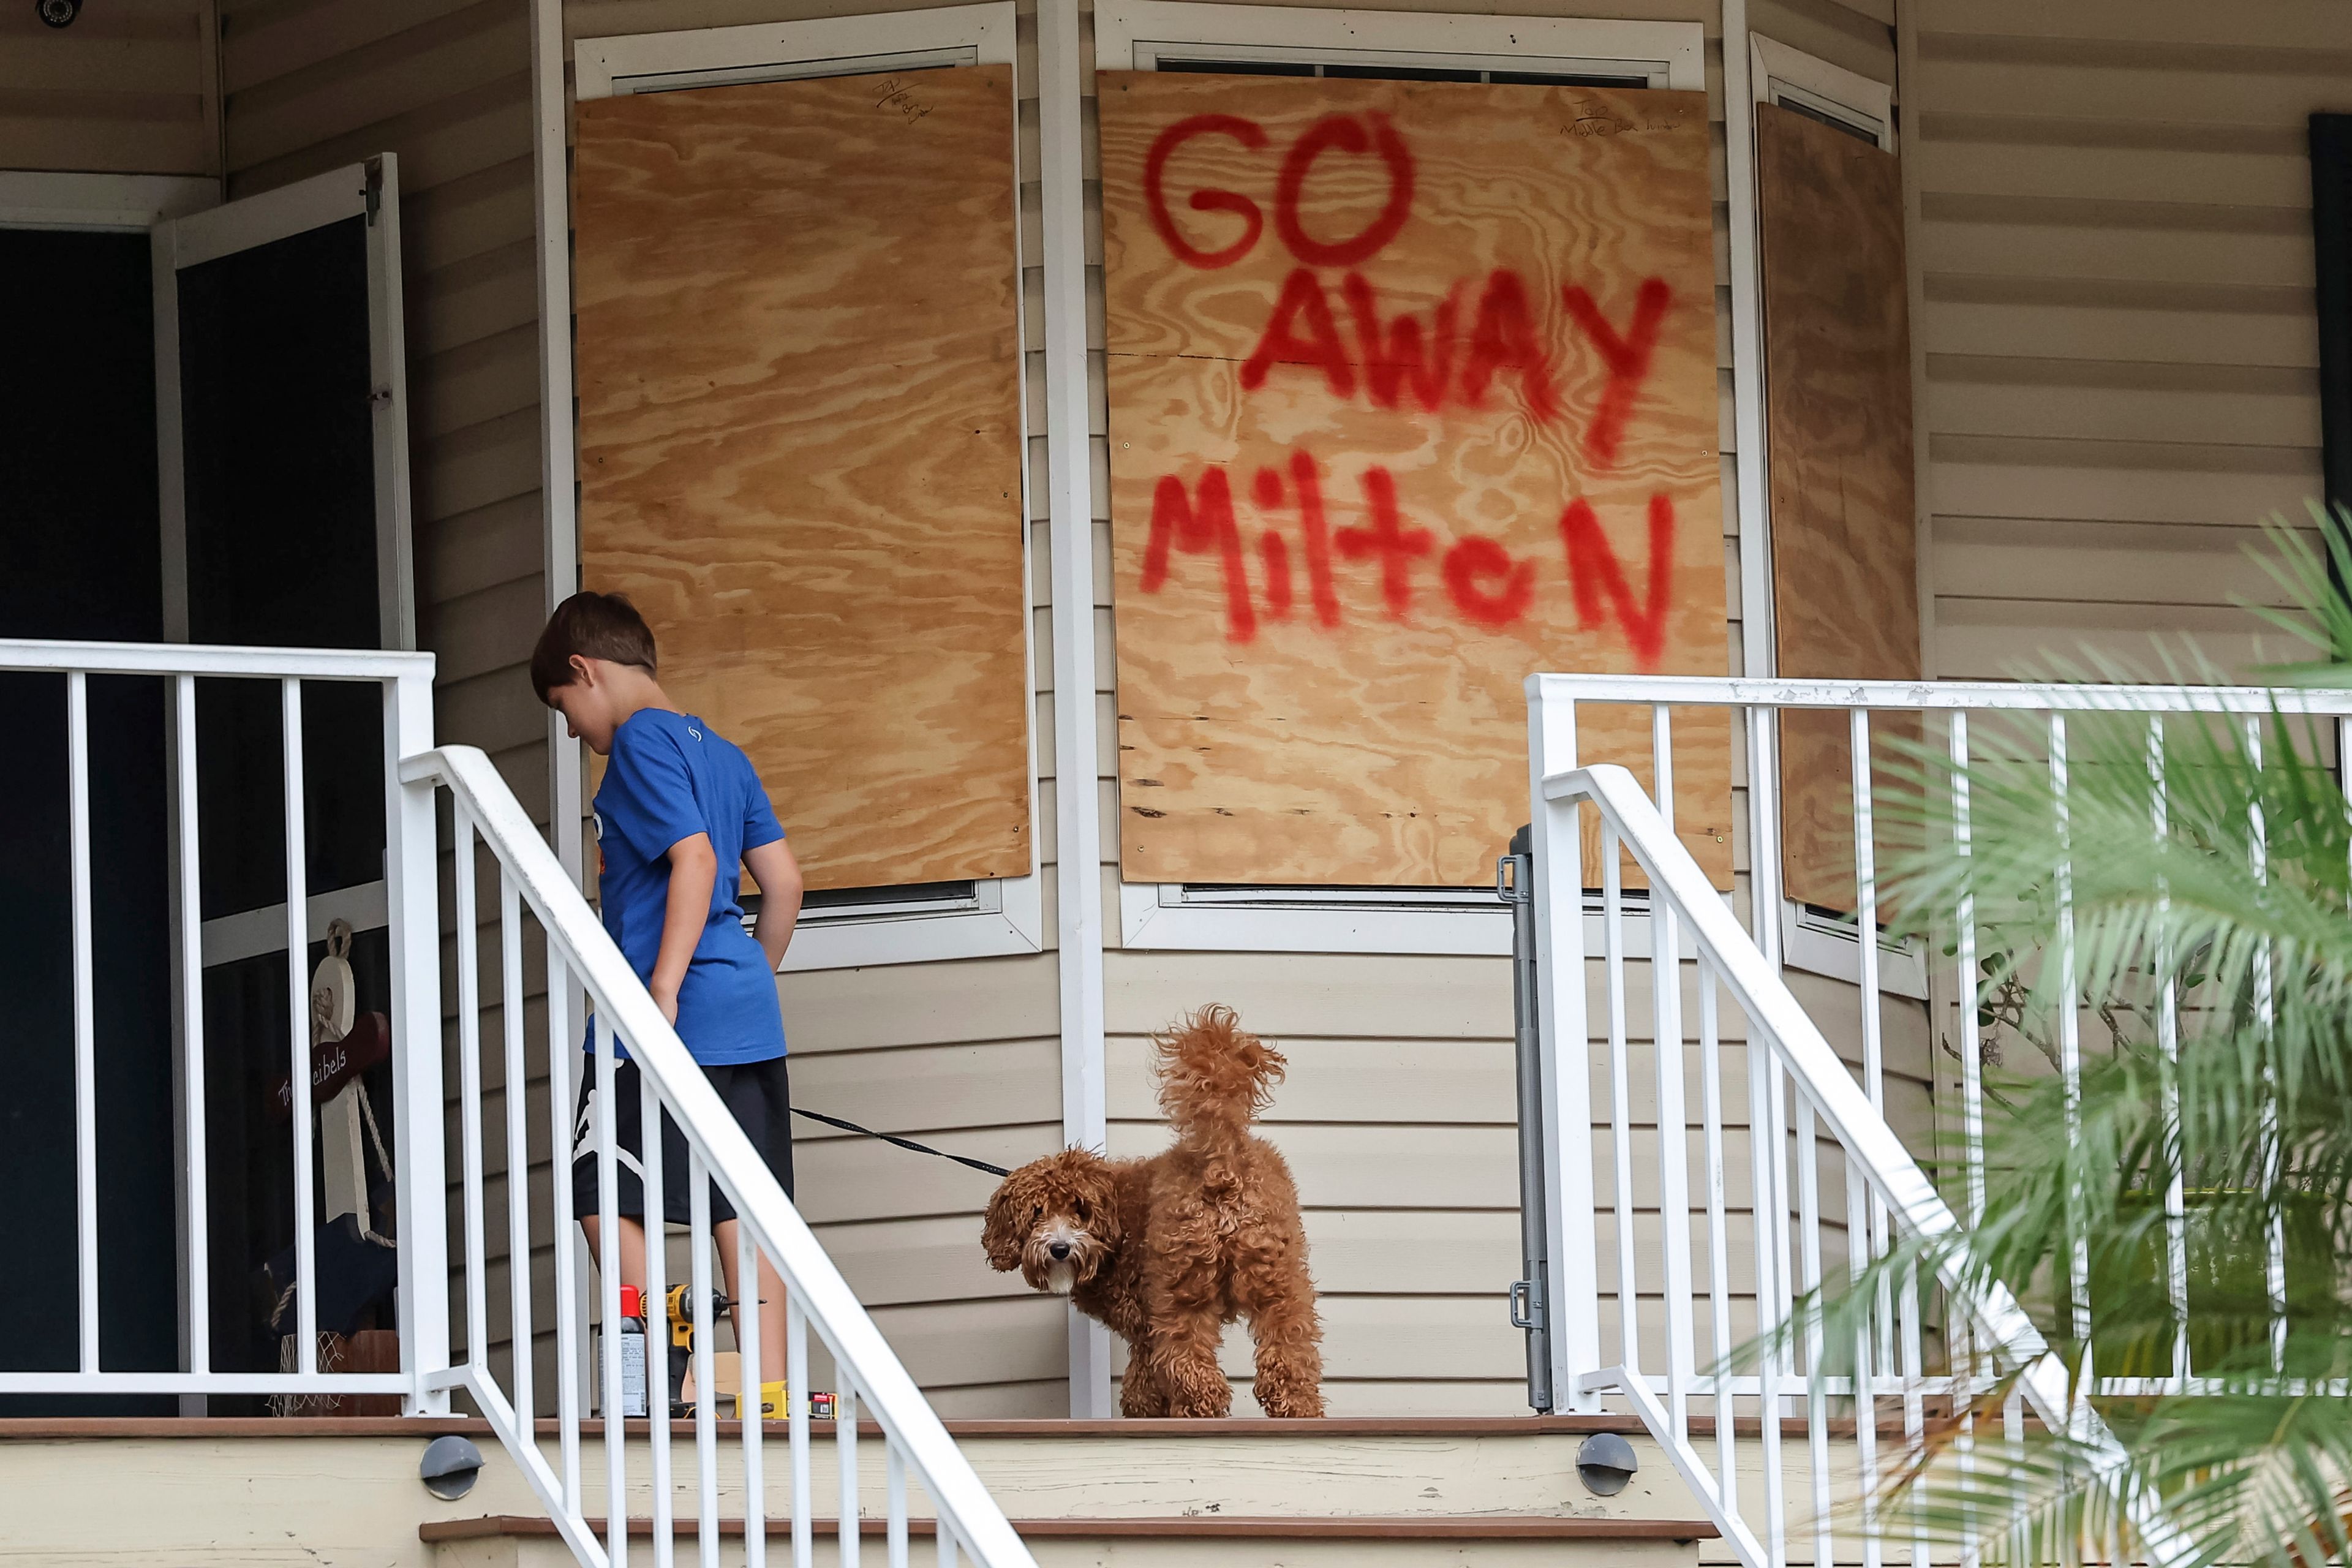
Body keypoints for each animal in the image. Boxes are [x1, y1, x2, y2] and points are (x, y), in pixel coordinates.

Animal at [978, 1006, 1326, 1420]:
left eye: (1080, 1210)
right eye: (1036, 1214)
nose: (1060, 1249)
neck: (1115, 1231)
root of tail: (1222, 1159)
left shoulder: (1145, 1322)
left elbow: (1143, 1382)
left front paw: (1144, 1409)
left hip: (1181, 1285)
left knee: (1189, 1359)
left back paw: (1198, 1409)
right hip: (1275, 1273)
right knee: (1290, 1342)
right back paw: (1298, 1406)